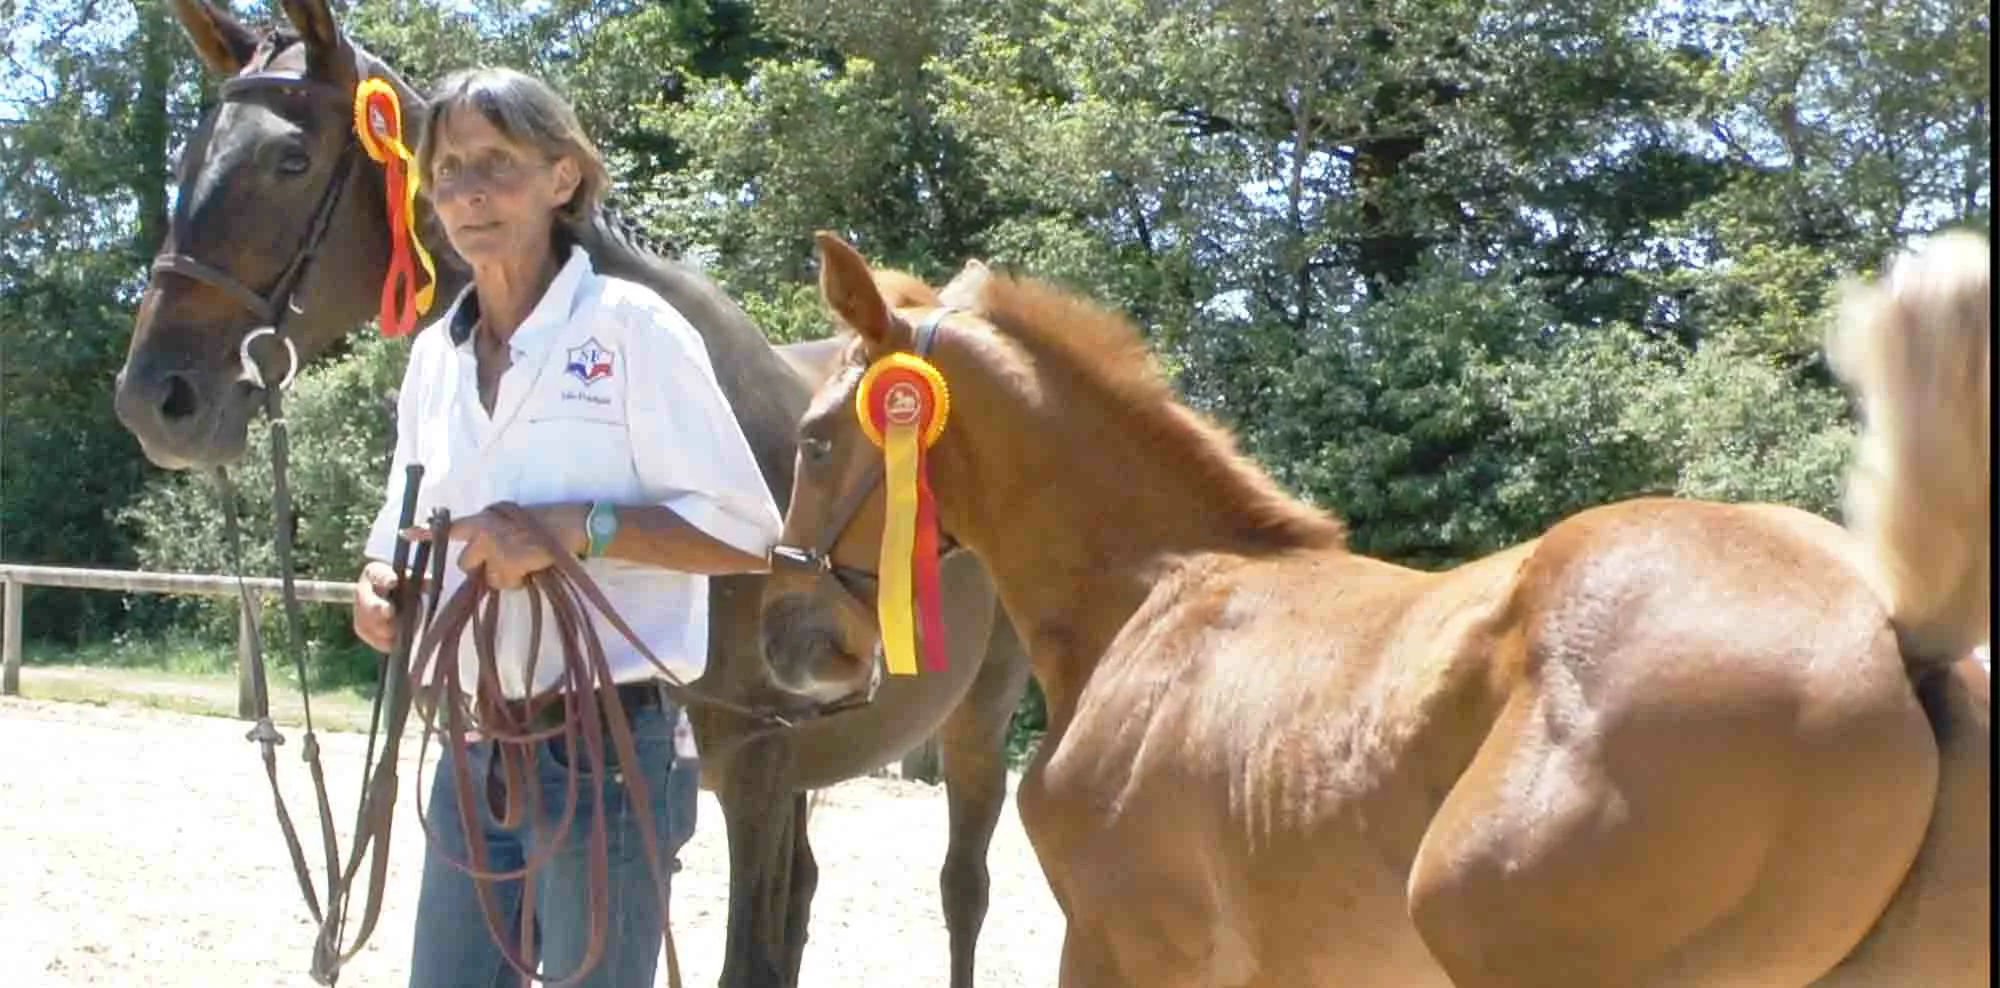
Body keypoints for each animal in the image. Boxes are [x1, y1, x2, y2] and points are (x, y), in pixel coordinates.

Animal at [113, 3, 1032, 984]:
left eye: (290, 161)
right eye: (188, 157)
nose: (156, 398)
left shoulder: (757, 763)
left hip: (976, 723)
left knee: (963, 890)